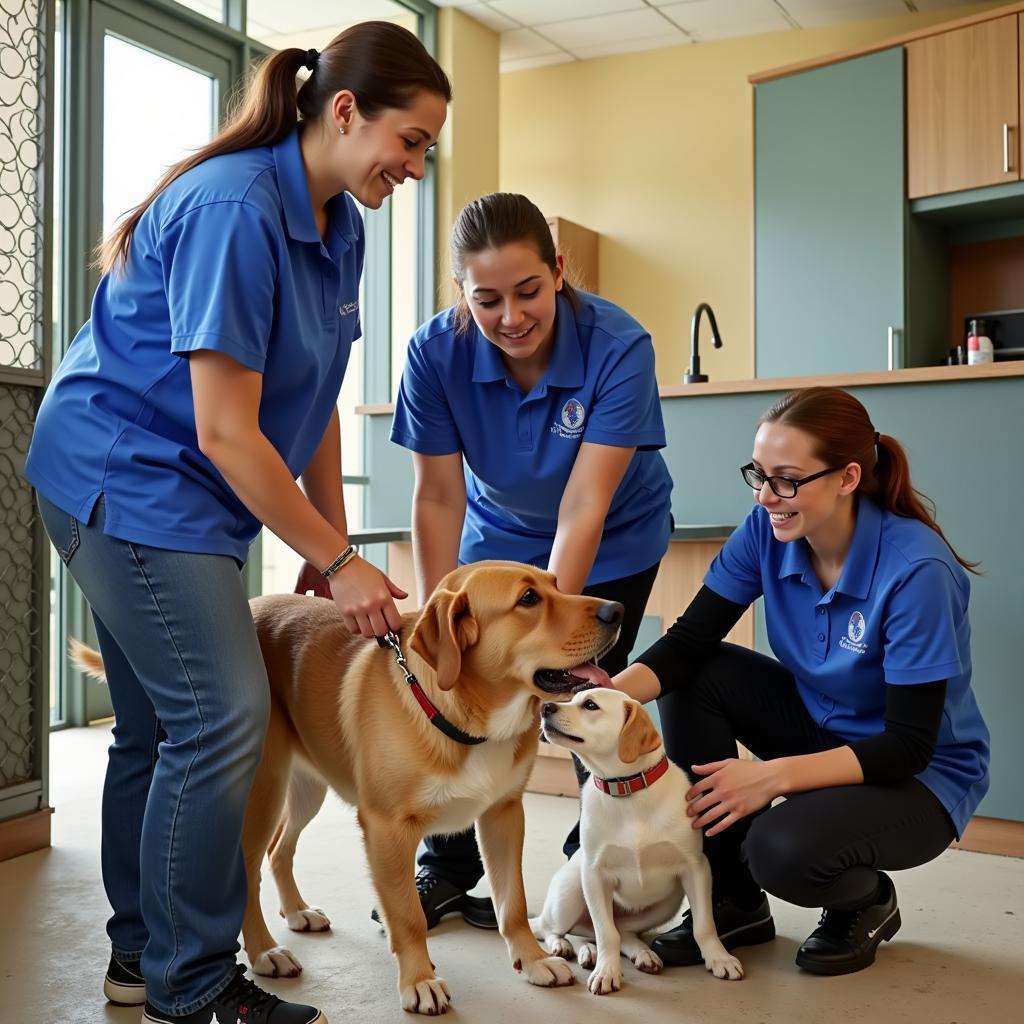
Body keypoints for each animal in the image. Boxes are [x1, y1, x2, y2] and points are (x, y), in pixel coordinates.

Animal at [75, 565, 618, 1011]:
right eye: (528, 599)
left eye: (555, 584)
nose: (617, 610)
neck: (462, 715)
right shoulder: (387, 828)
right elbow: (407, 917)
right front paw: (419, 981)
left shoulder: (504, 814)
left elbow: (514, 903)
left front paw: (531, 960)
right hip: (257, 793)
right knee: (248, 870)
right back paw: (265, 951)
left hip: (306, 790)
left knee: (280, 850)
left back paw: (296, 912)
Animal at [532, 688, 741, 991]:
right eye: (572, 698)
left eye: (590, 705)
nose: (545, 707)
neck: (627, 790)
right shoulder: (594, 875)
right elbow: (605, 933)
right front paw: (606, 972)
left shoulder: (696, 868)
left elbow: (704, 925)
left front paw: (719, 958)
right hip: (570, 892)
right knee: (556, 930)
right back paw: (573, 949)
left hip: (665, 904)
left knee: (621, 933)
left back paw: (642, 954)